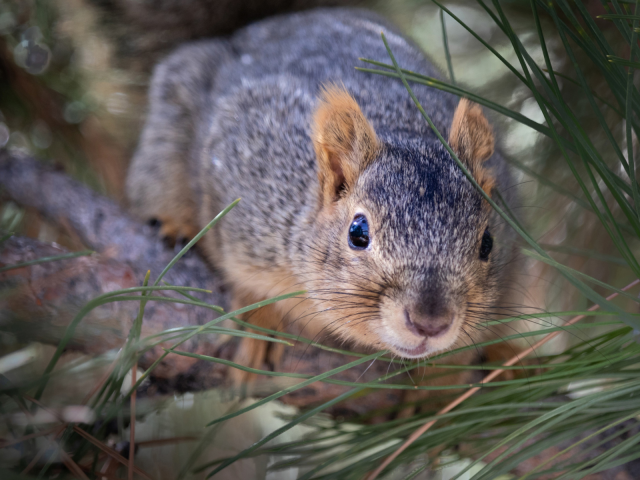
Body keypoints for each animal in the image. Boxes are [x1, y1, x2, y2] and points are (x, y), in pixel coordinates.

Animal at [126, 6, 520, 382]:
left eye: (487, 243)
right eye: (358, 233)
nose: (430, 322)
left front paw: (446, 377)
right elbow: (248, 282)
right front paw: (259, 323)